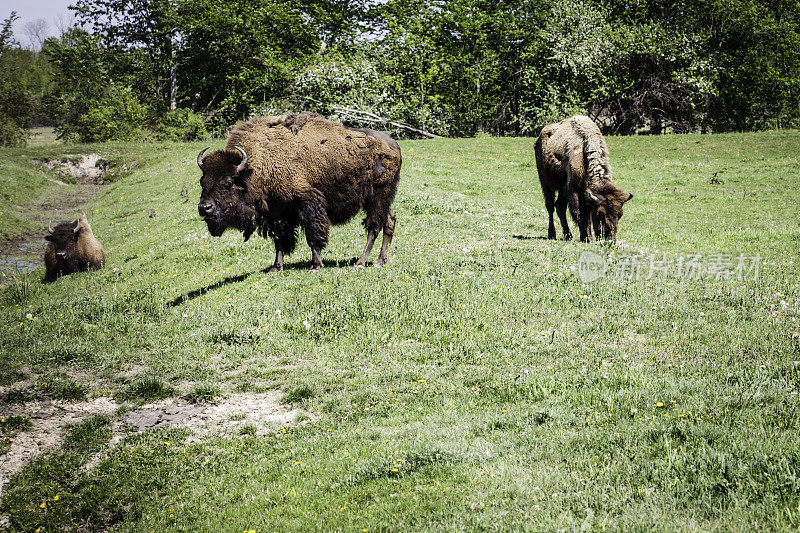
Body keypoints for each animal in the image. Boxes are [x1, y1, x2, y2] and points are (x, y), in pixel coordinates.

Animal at [198, 111, 404, 270]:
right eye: (202, 181)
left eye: (227, 182)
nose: (204, 208)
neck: (253, 168)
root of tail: (392, 143)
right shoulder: (275, 213)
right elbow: (279, 240)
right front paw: (276, 267)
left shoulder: (308, 201)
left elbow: (312, 235)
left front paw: (315, 265)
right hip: (380, 199)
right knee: (389, 221)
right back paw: (379, 261)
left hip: (378, 195)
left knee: (374, 226)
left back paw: (361, 262)